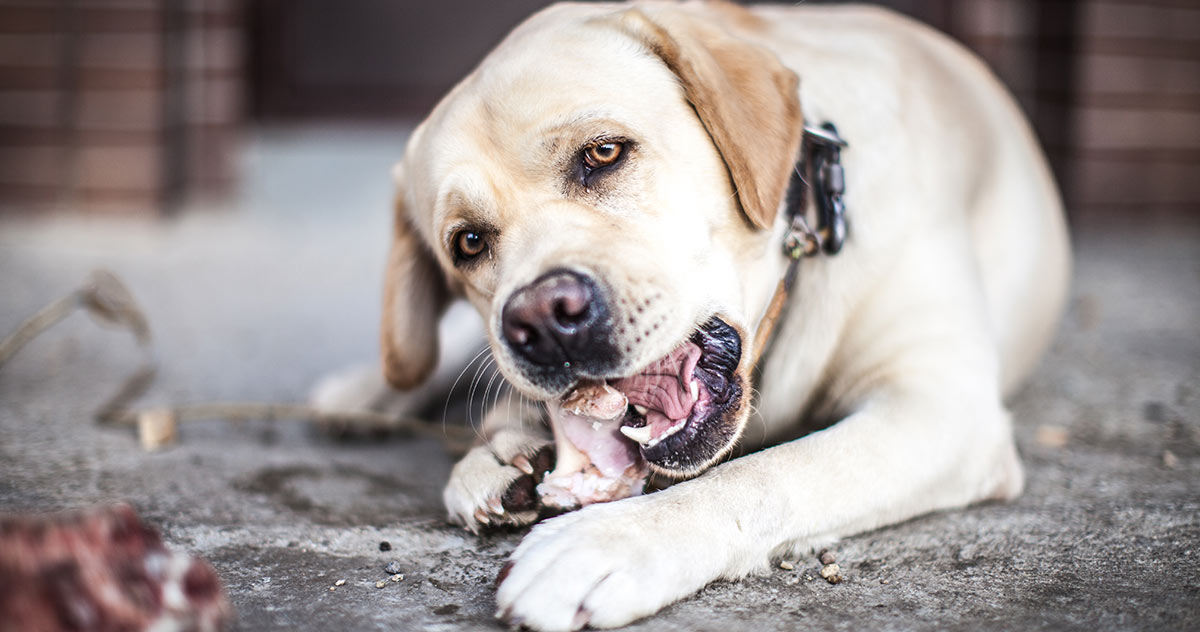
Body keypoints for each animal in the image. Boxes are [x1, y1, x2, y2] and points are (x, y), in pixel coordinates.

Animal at [369, 1, 1075, 632]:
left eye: (603, 153)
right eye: (468, 242)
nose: (540, 321)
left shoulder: (940, 408)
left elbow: (768, 471)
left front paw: (610, 544)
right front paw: (500, 453)